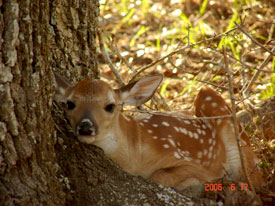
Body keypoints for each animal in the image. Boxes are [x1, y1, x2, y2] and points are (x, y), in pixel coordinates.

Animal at [53, 73, 264, 191]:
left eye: (110, 106)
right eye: (70, 104)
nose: (86, 126)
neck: (135, 155)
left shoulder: (192, 162)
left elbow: (160, 176)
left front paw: (191, 183)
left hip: (212, 100)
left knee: (252, 178)